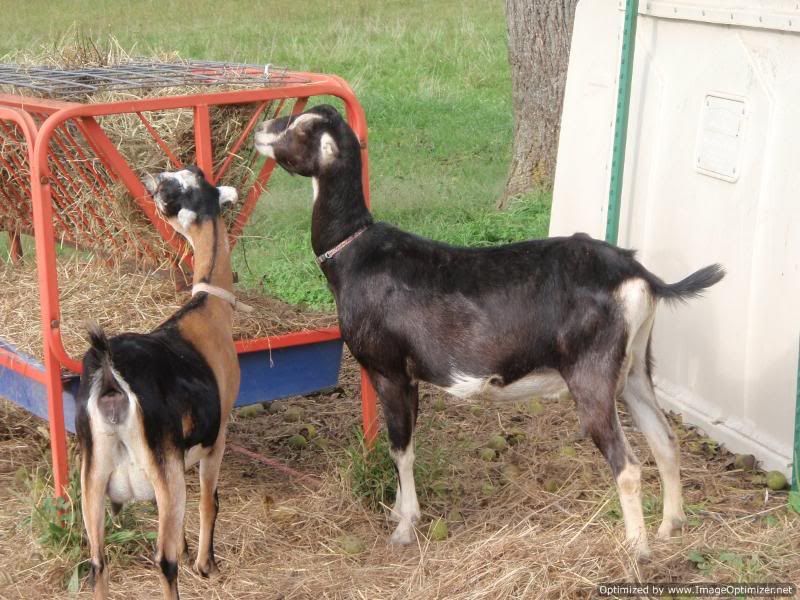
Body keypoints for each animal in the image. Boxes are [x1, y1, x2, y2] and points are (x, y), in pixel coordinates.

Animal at [76, 167, 240, 599]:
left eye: (187, 179)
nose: (155, 178)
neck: (205, 311)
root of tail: (111, 377)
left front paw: (188, 549)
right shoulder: (217, 437)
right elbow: (210, 501)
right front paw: (205, 564)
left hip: (93, 476)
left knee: (97, 562)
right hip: (163, 472)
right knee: (162, 562)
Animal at [254, 105, 725, 558]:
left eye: (301, 127)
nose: (260, 130)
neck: (354, 252)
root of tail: (637, 274)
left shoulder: (390, 371)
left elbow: (400, 449)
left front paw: (404, 528)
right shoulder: (409, 377)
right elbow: (407, 446)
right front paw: (400, 513)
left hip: (592, 373)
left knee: (626, 464)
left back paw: (637, 550)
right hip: (635, 368)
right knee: (665, 440)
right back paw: (670, 528)